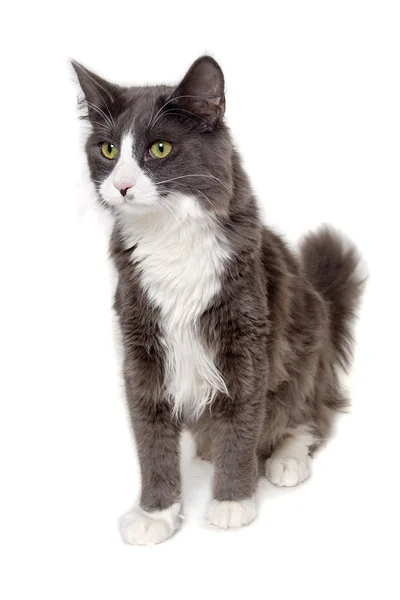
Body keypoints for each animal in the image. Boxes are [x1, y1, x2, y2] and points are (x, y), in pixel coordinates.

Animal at [72, 55, 366, 544]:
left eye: (159, 149)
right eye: (108, 151)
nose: (122, 186)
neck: (169, 235)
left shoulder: (244, 339)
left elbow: (240, 424)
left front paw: (232, 501)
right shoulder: (141, 348)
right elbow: (151, 436)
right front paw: (156, 512)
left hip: (306, 348)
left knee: (311, 413)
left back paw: (286, 458)